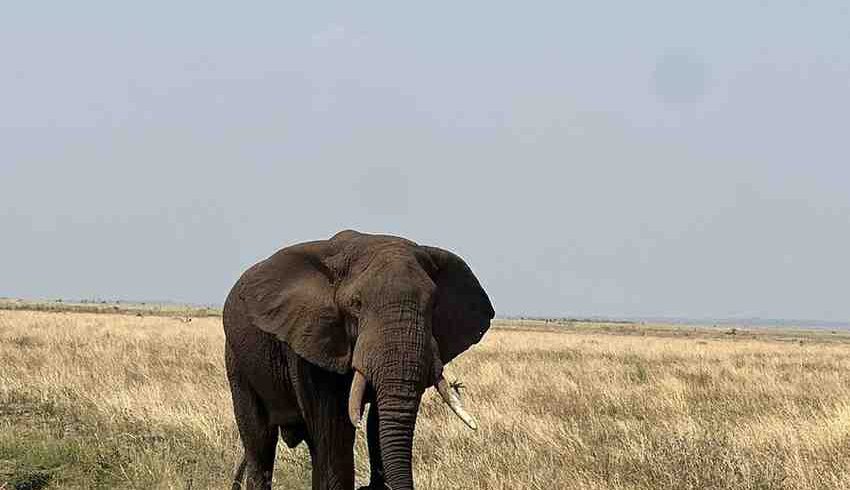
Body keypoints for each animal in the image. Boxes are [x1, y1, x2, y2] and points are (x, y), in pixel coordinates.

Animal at [223, 230, 494, 490]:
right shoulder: (311, 339)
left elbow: (378, 423)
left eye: (434, 305)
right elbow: (335, 432)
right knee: (260, 442)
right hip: (237, 360)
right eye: (355, 304)